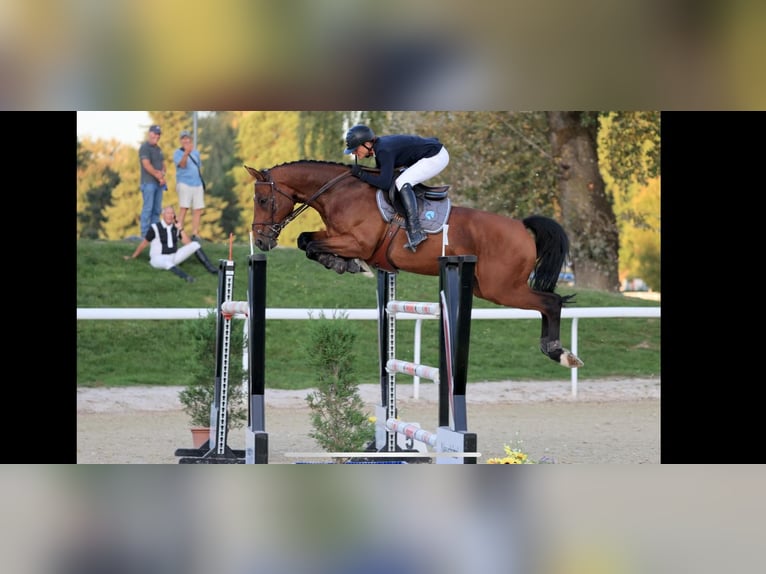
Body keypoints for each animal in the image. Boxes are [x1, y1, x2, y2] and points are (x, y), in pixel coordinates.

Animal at [245, 160, 583, 368]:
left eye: (262, 201)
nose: (261, 241)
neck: (341, 193)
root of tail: (521, 227)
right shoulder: (336, 235)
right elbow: (306, 240)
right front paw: (342, 264)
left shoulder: (358, 242)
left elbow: (312, 244)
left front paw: (348, 264)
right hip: (488, 288)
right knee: (547, 303)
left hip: (501, 288)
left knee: (550, 302)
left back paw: (558, 352)